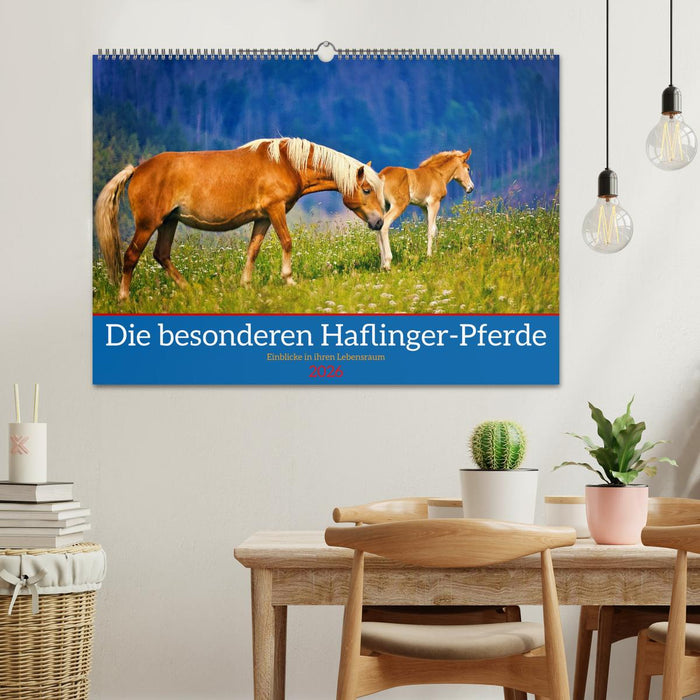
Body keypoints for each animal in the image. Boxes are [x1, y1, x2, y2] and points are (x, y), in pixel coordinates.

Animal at [94, 137, 385, 301]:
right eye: (366, 190)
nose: (379, 223)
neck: (287, 162)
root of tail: (137, 169)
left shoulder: (263, 218)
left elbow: (253, 250)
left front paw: (245, 284)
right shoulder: (276, 210)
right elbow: (287, 242)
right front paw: (288, 279)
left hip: (169, 221)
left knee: (162, 255)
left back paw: (190, 290)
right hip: (148, 224)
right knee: (131, 256)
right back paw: (124, 298)